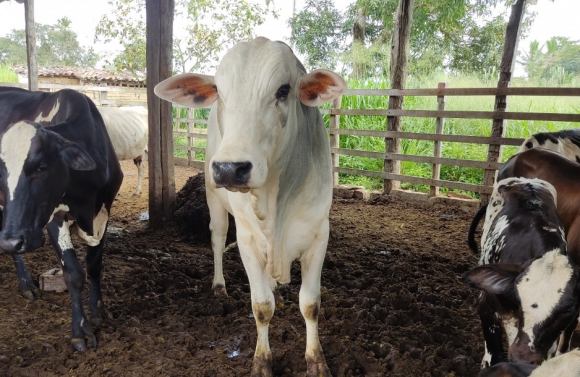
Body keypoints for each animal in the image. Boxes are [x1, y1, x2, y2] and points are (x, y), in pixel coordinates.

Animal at [0, 86, 123, 352]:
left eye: (41, 166)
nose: (11, 241)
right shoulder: (54, 218)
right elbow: (74, 274)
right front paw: (80, 331)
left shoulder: (104, 212)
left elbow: (94, 265)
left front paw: (98, 311)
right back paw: (26, 283)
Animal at [152, 36, 346, 374]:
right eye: (219, 91)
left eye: (283, 90)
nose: (230, 168)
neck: (276, 201)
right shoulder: (246, 240)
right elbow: (261, 306)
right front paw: (262, 362)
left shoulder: (319, 235)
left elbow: (310, 304)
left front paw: (316, 361)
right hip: (214, 202)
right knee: (217, 240)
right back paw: (219, 287)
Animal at [464, 177, 580, 368]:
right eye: (518, 299)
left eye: (567, 309)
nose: (522, 357)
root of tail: (526, 180)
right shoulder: (486, 306)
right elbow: (494, 357)